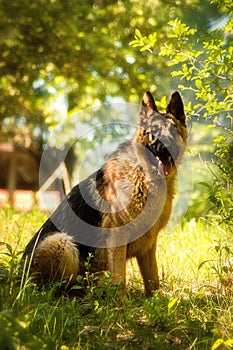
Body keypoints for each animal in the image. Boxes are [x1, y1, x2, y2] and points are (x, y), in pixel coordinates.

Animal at [22, 91, 187, 296]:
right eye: (153, 132)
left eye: (173, 131)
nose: (164, 148)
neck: (143, 174)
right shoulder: (117, 240)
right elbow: (120, 280)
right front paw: (121, 304)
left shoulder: (149, 245)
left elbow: (153, 281)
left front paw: (155, 303)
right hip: (61, 242)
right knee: (54, 290)